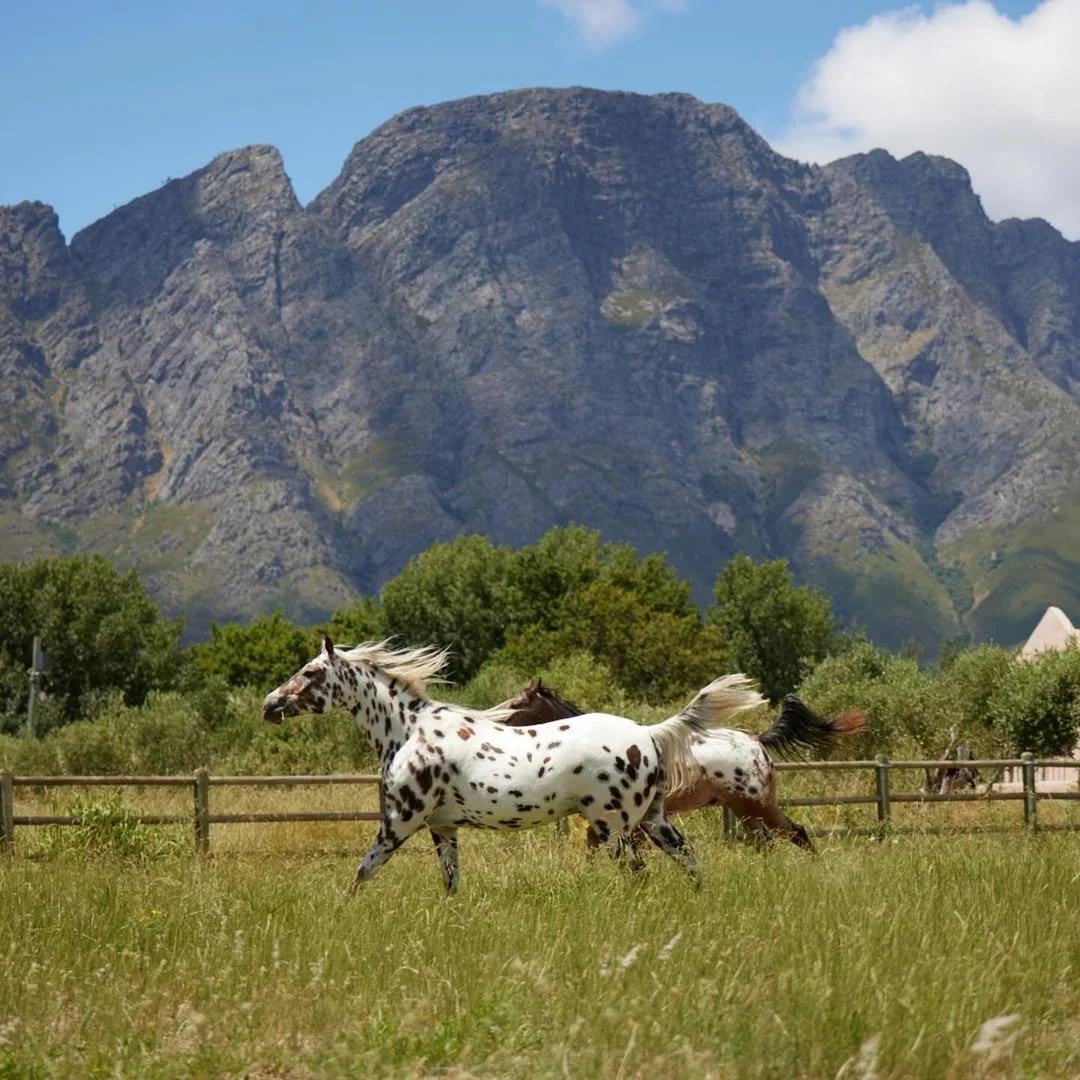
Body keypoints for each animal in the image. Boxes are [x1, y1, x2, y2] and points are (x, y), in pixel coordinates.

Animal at [262, 637, 766, 894]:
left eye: (311, 672)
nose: (270, 704)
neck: (407, 733)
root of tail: (648, 734)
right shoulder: (442, 827)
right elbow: (450, 883)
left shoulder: (399, 821)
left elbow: (362, 873)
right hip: (652, 819)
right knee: (688, 859)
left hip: (614, 827)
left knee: (638, 873)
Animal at [496, 679, 867, 850]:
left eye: (517, 704)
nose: (494, 714)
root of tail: (757, 741)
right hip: (748, 811)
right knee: (771, 840)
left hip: (756, 806)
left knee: (796, 834)